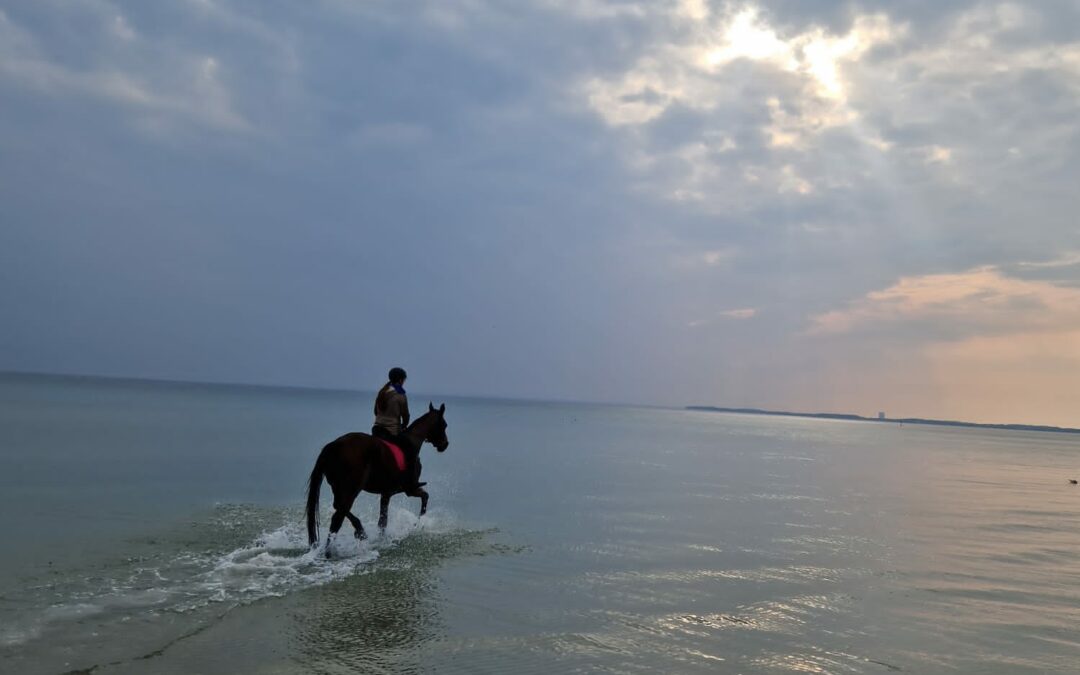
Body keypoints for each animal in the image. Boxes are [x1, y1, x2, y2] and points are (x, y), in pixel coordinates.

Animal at [306, 401, 449, 557]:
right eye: (444, 425)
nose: (445, 444)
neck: (412, 442)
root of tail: (332, 446)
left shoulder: (386, 493)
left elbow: (382, 521)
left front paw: (382, 540)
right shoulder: (409, 489)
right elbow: (425, 497)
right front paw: (417, 523)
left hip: (338, 488)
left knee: (338, 511)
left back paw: (340, 543)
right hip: (351, 489)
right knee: (339, 514)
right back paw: (350, 538)